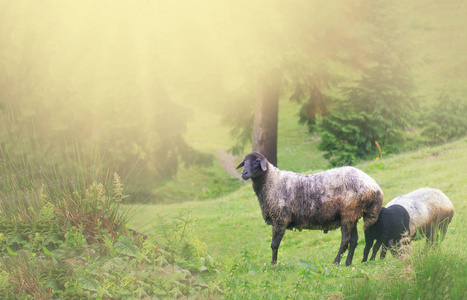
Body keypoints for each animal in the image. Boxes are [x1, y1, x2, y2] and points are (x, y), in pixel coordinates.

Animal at [238, 152, 384, 264]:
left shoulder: (280, 219)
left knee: (346, 240)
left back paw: (335, 262)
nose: (244, 173)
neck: (272, 182)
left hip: (349, 213)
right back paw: (348, 263)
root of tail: (375, 187)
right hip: (353, 215)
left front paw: (273, 265)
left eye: (256, 161)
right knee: (354, 240)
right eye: (244, 162)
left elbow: (274, 245)